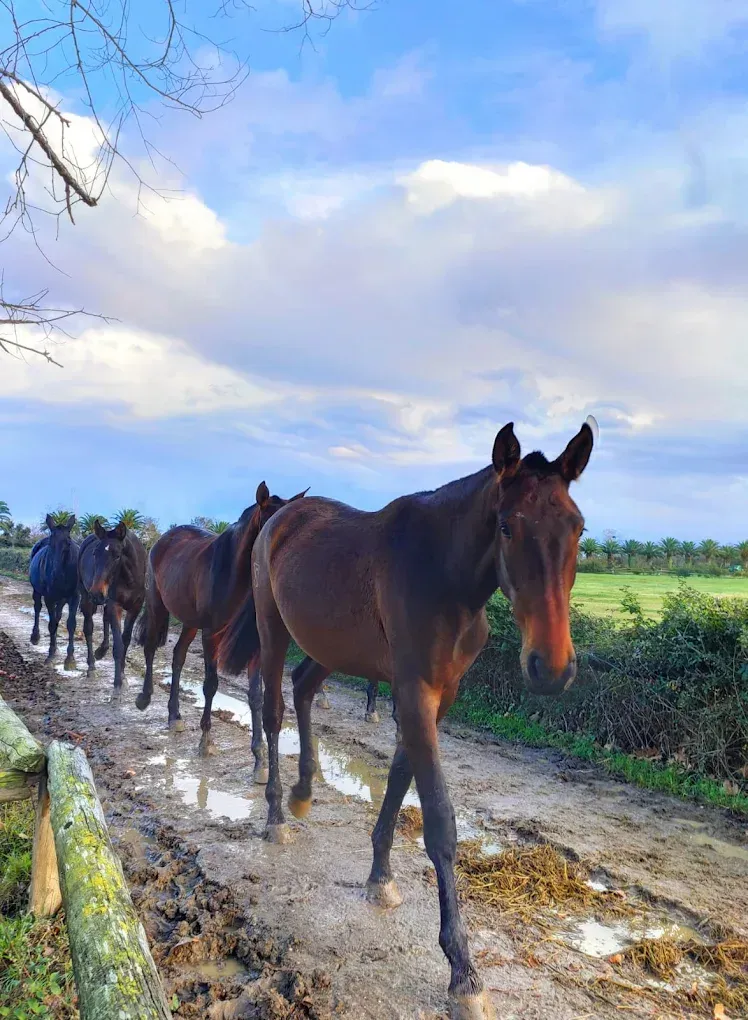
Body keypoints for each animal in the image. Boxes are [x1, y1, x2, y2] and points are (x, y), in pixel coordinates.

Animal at [29, 515, 80, 670]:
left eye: (68, 542)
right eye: (51, 543)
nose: (55, 574)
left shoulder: (75, 597)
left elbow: (71, 624)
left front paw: (70, 659)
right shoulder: (49, 598)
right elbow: (51, 624)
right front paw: (50, 655)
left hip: (62, 599)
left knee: (57, 616)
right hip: (37, 591)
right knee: (38, 608)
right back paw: (35, 637)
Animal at [78, 521, 147, 694]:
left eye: (117, 555)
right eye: (95, 553)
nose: (96, 593)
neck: (129, 578)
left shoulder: (135, 607)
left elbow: (125, 640)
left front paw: (123, 676)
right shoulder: (115, 605)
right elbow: (118, 646)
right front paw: (117, 685)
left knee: (104, 619)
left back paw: (101, 650)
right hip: (87, 597)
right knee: (88, 628)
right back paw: (91, 667)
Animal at [134, 481, 307, 768]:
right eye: (269, 527)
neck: (231, 573)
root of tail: (163, 539)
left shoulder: (255, 643)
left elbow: (256, 696)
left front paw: (259, 756)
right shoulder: (211, 634)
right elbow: (211, 684)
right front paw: (206, 741)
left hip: (190, 622)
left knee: (178, 657)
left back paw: (174, 715)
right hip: (157, 604)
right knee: (149, 648)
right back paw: (144, 698)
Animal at [217, 419, 595, 1020]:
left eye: (577, 527)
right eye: (507, 527)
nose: (551, 667)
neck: (442, 575)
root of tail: (280, 515)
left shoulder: (436, 695)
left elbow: (398, 778)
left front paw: (380, 877)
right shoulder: (414, 690)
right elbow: (438, 819)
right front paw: (463, 971)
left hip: (329, 646)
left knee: (303, 689)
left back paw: (304, 791)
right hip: (273, 628)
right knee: (273, 710)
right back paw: (276, 814)